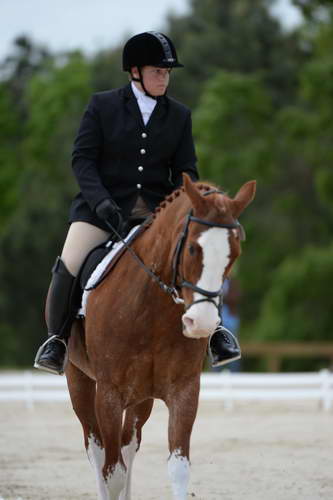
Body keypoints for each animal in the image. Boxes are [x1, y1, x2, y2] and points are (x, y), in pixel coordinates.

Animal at [66, 173, 255, 500]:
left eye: (234, 254)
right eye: (192, 249)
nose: (202, 323)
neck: (151, 311)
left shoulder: (184, 391)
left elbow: (178, 469)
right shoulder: (109, 394)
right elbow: (112, 472)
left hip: (141, 397)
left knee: (128, 446)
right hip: (79, 380)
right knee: (96, 449)